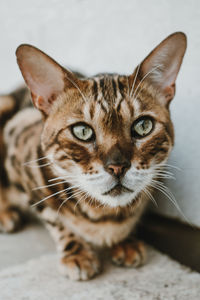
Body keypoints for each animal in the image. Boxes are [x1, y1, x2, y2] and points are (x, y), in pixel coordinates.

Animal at [0, 31, 188, 280]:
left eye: (143, 126)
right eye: (82, 131)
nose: (118, 167)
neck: (104, 214)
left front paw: (125, 241)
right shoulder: (20, 152)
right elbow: (54, 217)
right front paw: (77, 252)